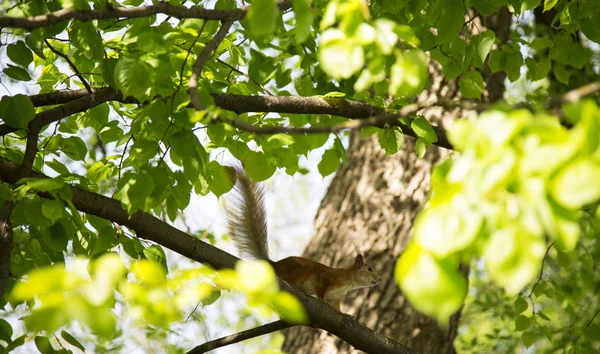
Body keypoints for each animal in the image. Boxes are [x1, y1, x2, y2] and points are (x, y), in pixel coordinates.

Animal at [225, 167, 380, 312]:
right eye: (369, 269)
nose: (379, 279)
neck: (349, 281)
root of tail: (275, 265)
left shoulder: (337, 298)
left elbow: (338, 308)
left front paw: (347, 314)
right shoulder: (328, 277)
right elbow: (321, 288)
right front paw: (322, 301)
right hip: (301, 270)